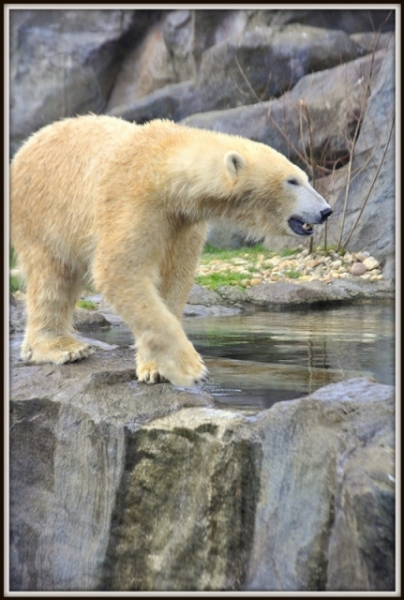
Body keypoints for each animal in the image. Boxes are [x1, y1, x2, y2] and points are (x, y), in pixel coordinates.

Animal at [11, 115, 332, 386]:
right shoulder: (132, 200)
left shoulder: (183, 222)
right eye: (292, 180)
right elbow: (120, 270)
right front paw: (188, 368)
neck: (162, 164)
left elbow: (174, 277)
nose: (326, 210)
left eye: (304, 177)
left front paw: (154, 367)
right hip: (43, 211)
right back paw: (62, 347)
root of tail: (27, 144)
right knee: (52, 278)